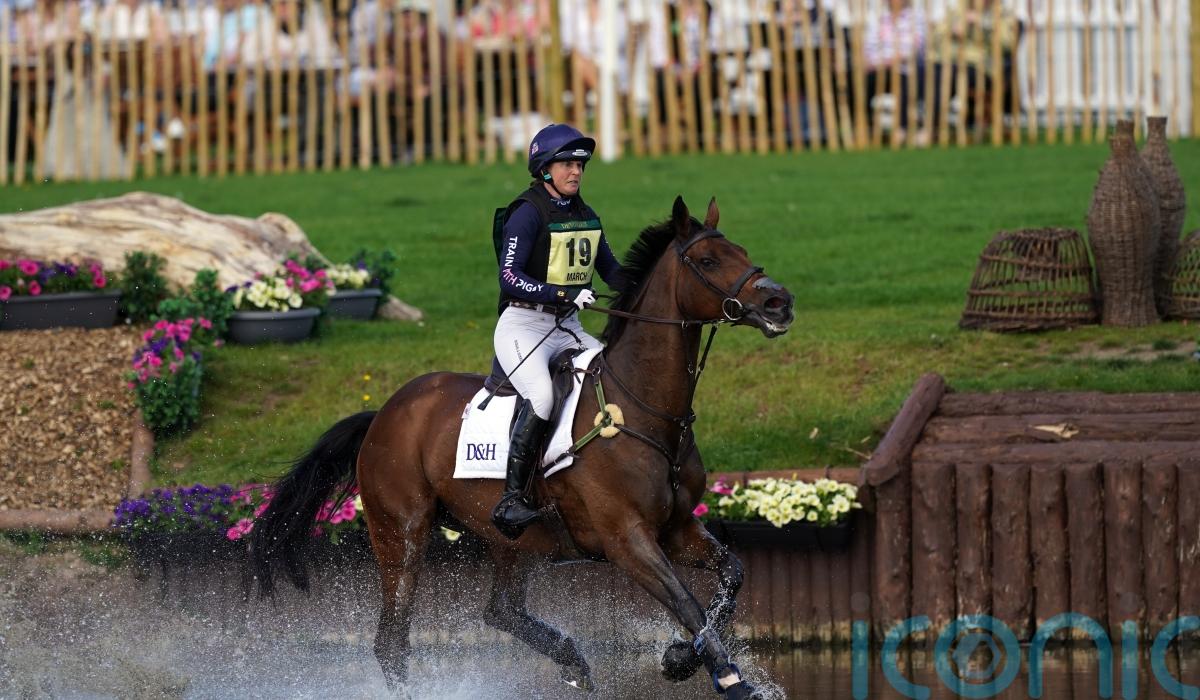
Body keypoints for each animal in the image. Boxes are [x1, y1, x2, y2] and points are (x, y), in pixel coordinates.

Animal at [249, 196, 795, 699]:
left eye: (743, 252)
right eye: (708, 261)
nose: (780, 303)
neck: (645, 410)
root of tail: (384, 413)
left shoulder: (677, 530)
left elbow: (730, 579)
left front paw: (682, 656)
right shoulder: (627, 540)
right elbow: (687, 602)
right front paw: (730, 679)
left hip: (513, 540)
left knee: (501, 610)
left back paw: (572, 658)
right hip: (401, 532)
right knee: (392, 642)